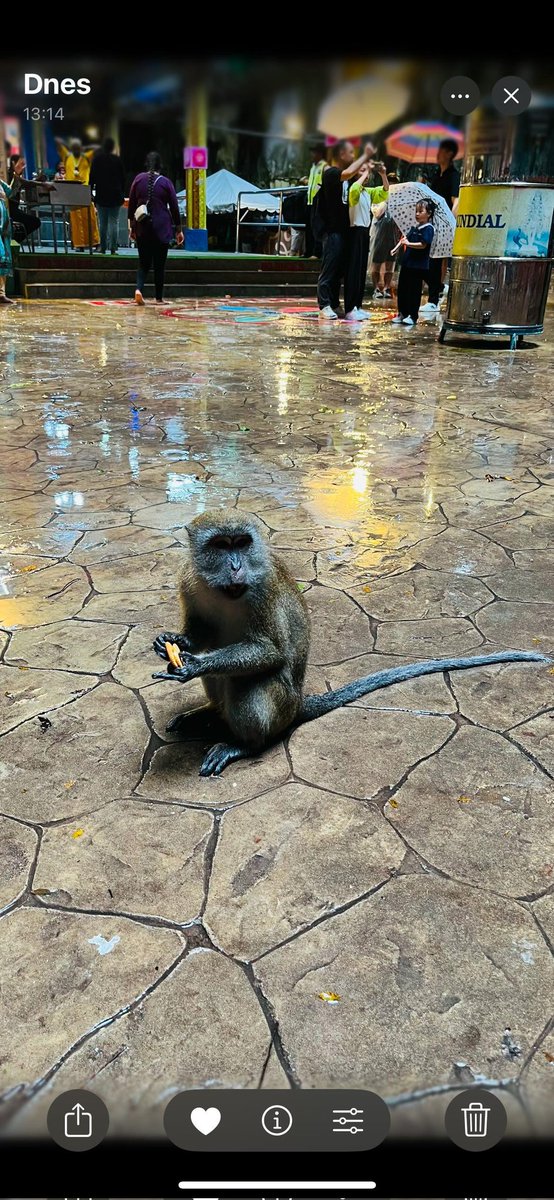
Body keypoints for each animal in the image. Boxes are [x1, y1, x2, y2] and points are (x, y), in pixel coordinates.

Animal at [152, 510, 549, 777]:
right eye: (221, 545)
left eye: (242, 544)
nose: (236, 567)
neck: (223, 590)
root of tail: (297, 706)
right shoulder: (188, 579)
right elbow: (200, 631)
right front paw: (172, 642)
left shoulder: (262, 588)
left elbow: (271, 652)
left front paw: (196, 663)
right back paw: (210, 713)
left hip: (281, 704)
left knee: (247, 684)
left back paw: (245, 744)